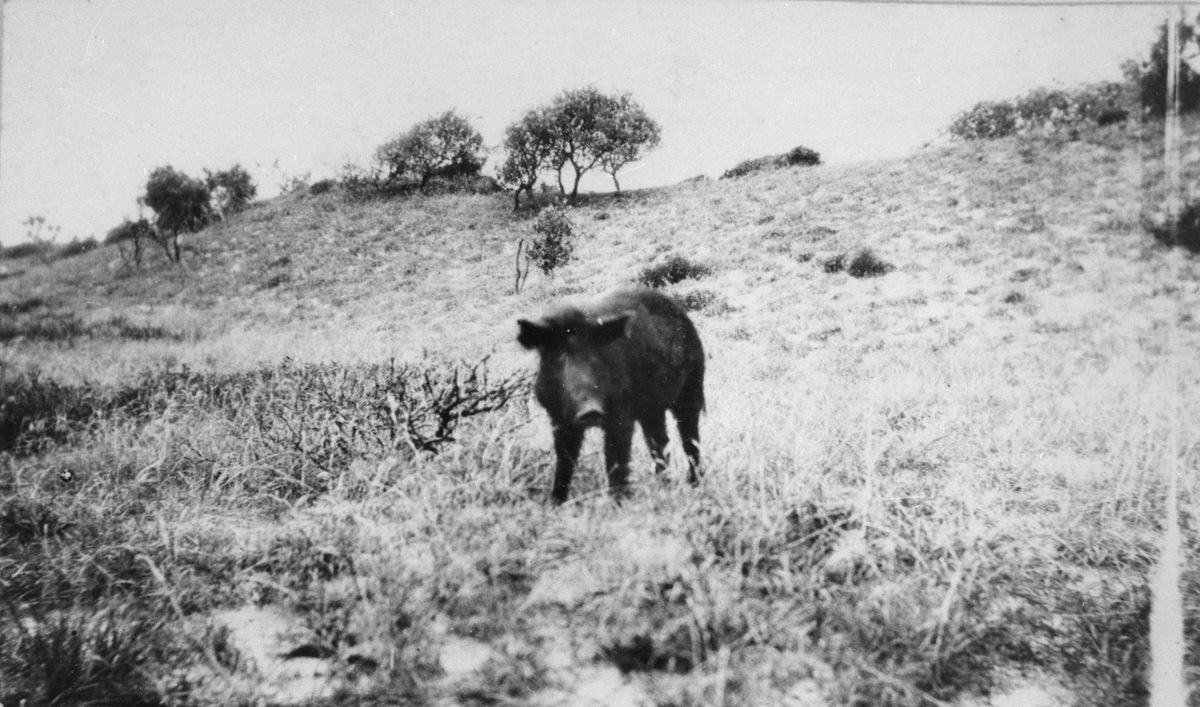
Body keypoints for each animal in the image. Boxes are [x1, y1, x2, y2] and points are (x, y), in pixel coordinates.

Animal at [517, 287, 706, 503]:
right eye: (558, 355)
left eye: (595, 354)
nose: (590, 410)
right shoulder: (558, 418)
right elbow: (565, 460)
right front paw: (555, 503)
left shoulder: (621, 413)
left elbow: (616, 460)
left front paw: (618, 503)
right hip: (652, 409)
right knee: (660, 442)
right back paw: (664, 486)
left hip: (692, 386)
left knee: (690, 438)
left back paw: (694, 484)